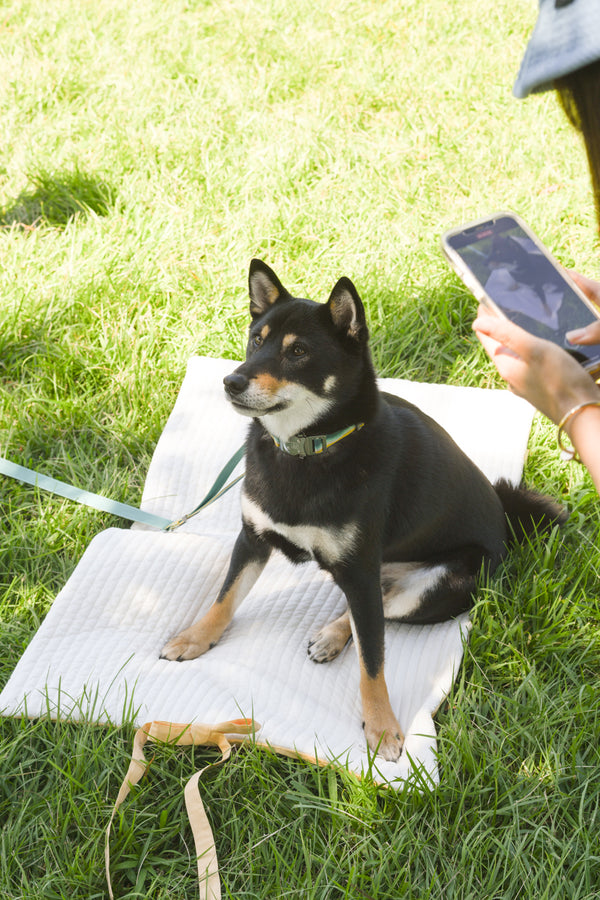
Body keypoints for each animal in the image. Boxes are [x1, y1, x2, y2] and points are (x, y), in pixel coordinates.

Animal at [162, 258, 564, 760]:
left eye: (298, 352)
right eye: (257, 339)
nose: (230, 381)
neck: (306, 449)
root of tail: (506, 523)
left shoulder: (356, 569)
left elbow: (373, 663)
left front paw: (383, 728)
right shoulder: (252, 538)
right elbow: (225, 598)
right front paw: (195, 639)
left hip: (432, 589)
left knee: (380, 615)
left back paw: (336, 637)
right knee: (367, 609)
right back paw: (330, 636)